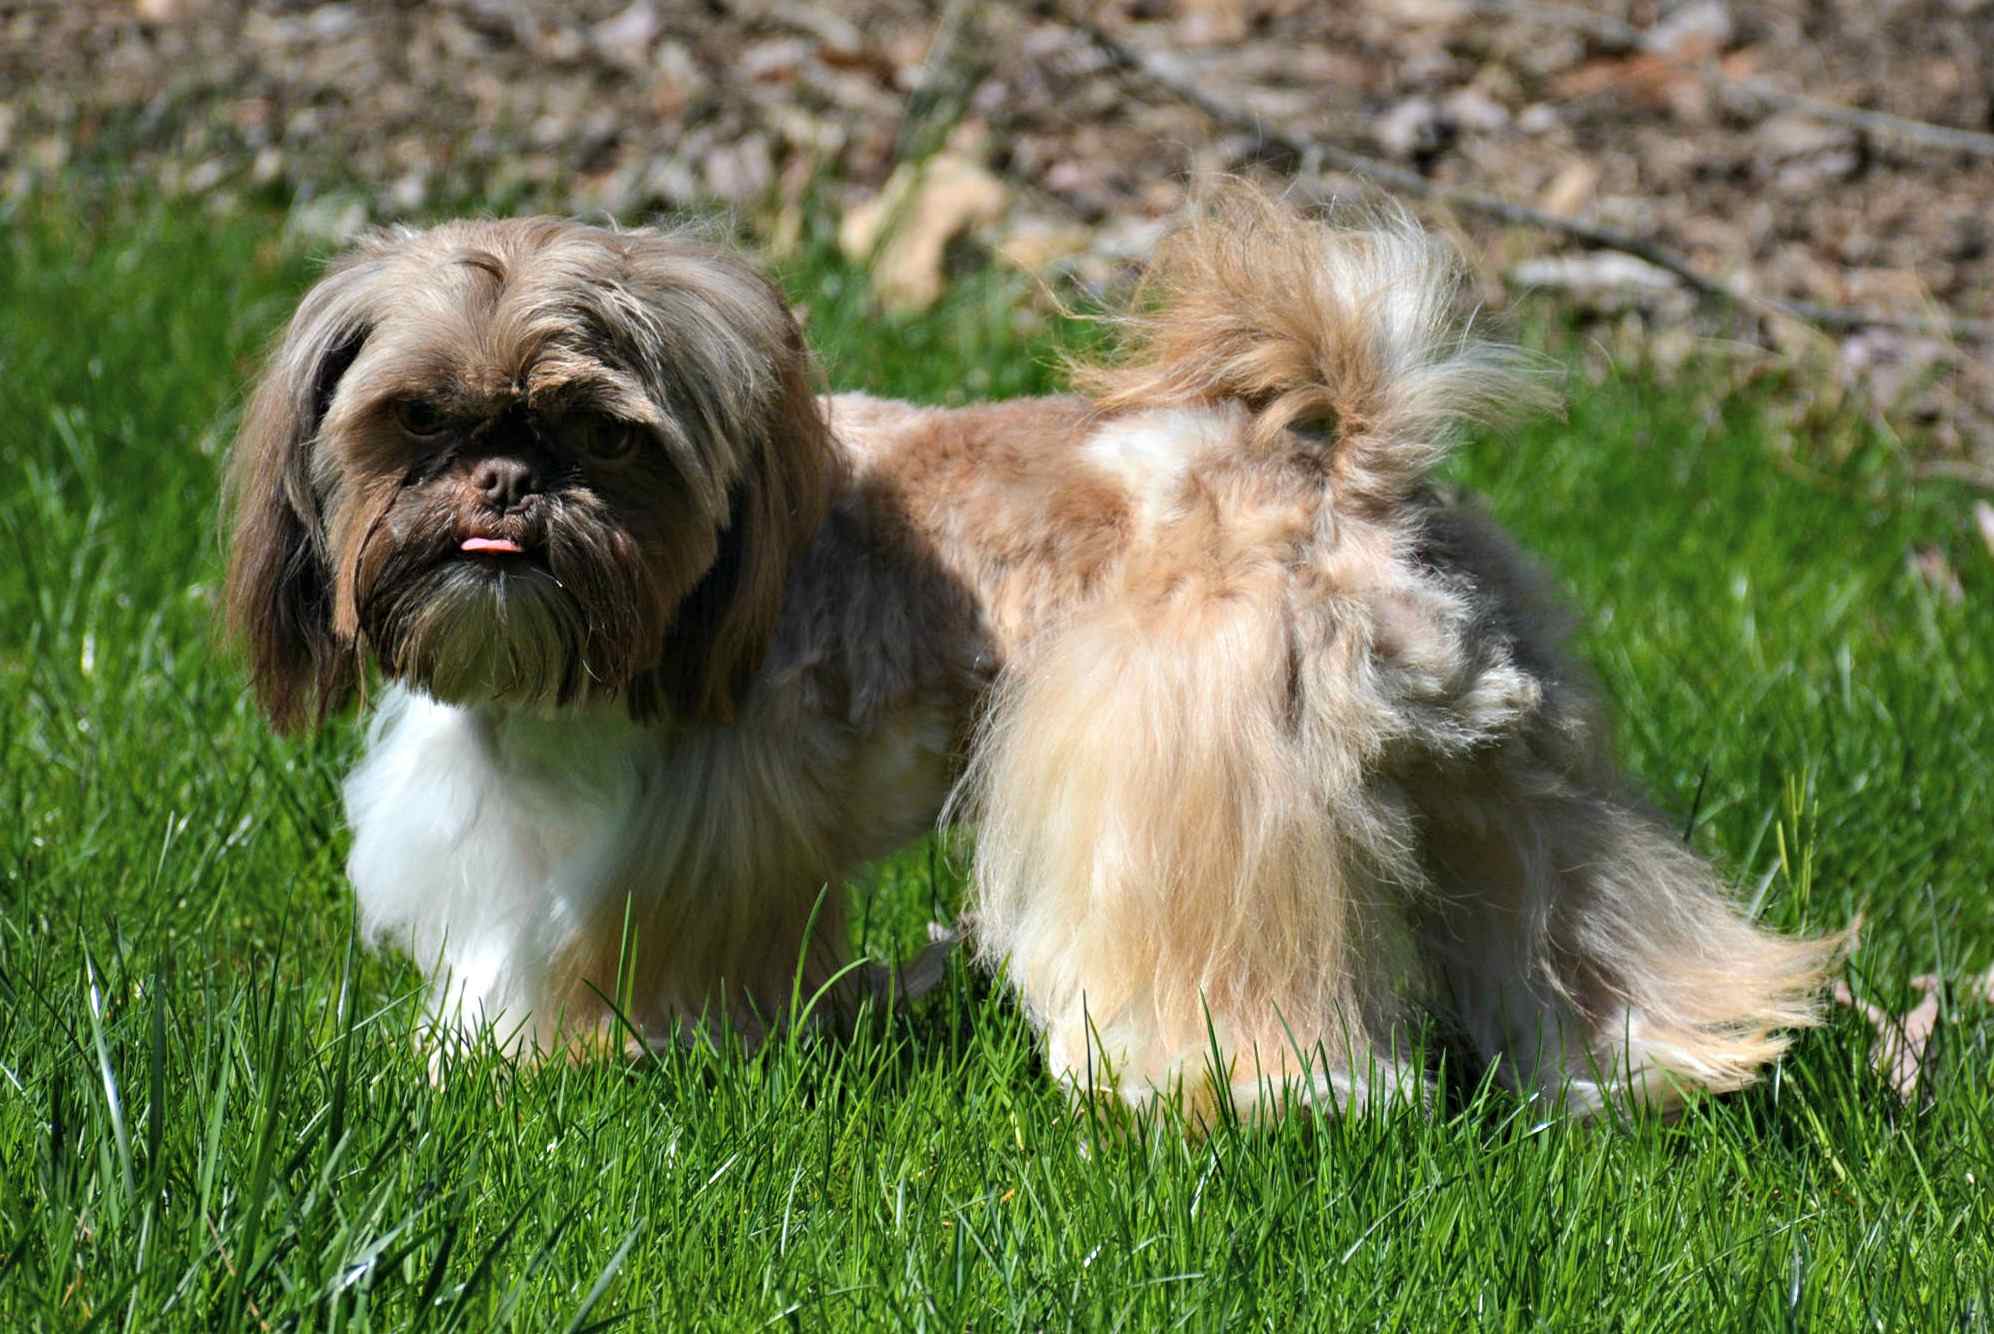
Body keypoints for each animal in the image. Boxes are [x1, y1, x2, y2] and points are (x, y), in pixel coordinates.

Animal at [222, 184, 1834, 1116]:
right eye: (419, 419)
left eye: (599, 432)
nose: (506, 479)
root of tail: (1348, 467)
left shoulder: (666, 833)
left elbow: (585, 955)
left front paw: (522, 1058)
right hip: (1505, 784)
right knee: (1586, 926)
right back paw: (1647, 1067)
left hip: (1173, 782)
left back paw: (1242, 1096)